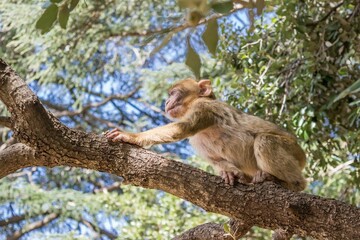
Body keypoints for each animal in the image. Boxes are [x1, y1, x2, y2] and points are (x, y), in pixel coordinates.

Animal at [105, 79, 306, 191]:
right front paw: (230, 174)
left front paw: (131, 137)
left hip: (293, 149)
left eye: (174, 93)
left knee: (265, 140)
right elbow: (215, 160)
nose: (167, 102)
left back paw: (292, 183)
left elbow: (183, 128)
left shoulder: (204, 108)